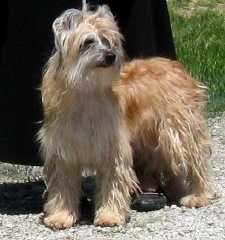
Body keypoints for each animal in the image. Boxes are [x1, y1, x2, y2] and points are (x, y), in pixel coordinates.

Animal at [37, 4, 214, 229]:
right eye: (88, 42)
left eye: (109, 41)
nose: (111, 55)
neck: (86, 89)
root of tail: (176, 66)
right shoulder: (64, 153)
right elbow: (63, 187)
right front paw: (60, 216)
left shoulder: (112, 150)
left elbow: (112, 183)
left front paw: (109, 216)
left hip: (178, 133)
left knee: (195, 162)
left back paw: (198, 195)